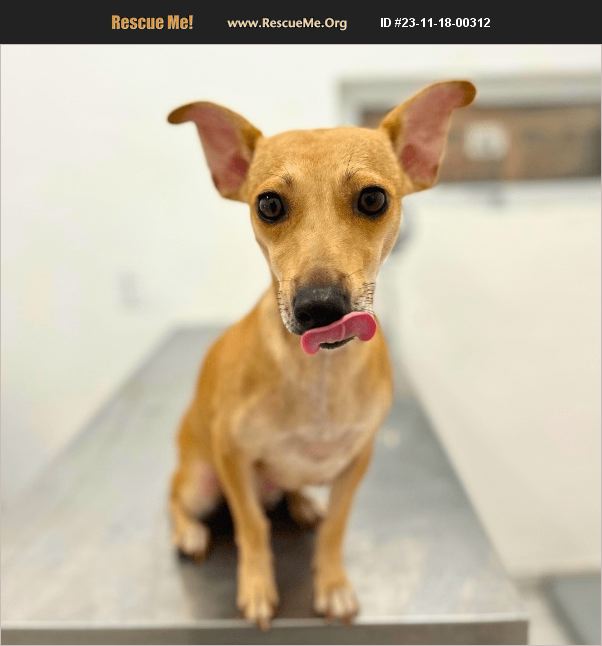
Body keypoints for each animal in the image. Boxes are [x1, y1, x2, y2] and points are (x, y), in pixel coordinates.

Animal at [167, 80, 475, 629]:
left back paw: (301, 502)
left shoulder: (356, 462)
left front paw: (331, 584)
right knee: (174, 501)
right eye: (268, 205)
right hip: (200, 480)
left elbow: (336, 528)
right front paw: (257, 586)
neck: (321, 378)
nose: (319, 307)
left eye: (373, 198)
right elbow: (252, 527)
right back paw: (189, 531)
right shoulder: (232, 457)